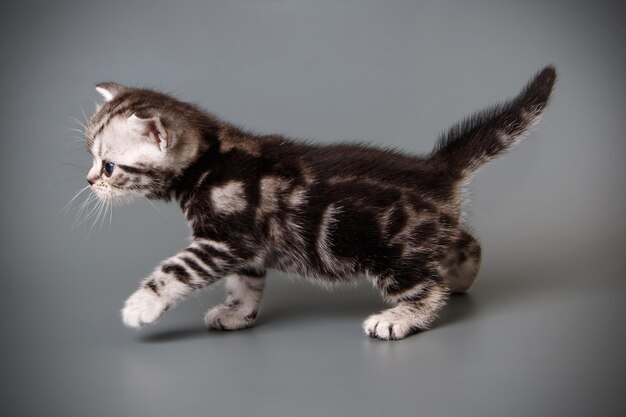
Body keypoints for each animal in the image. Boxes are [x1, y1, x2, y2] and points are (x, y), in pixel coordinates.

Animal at [80, 66, 552, 338]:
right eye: (92, 158)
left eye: (109, 166)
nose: (88, 181)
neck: (210, 161)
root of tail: (436, 168)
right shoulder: (246, 248)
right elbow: (246, 283)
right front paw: (238, 315)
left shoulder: (224, 240)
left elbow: (175, 270)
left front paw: (141, 307)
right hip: (429, 233)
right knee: (467, 243)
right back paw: (462, 276)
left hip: (389, 252)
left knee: (427, 287)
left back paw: (400, 317)